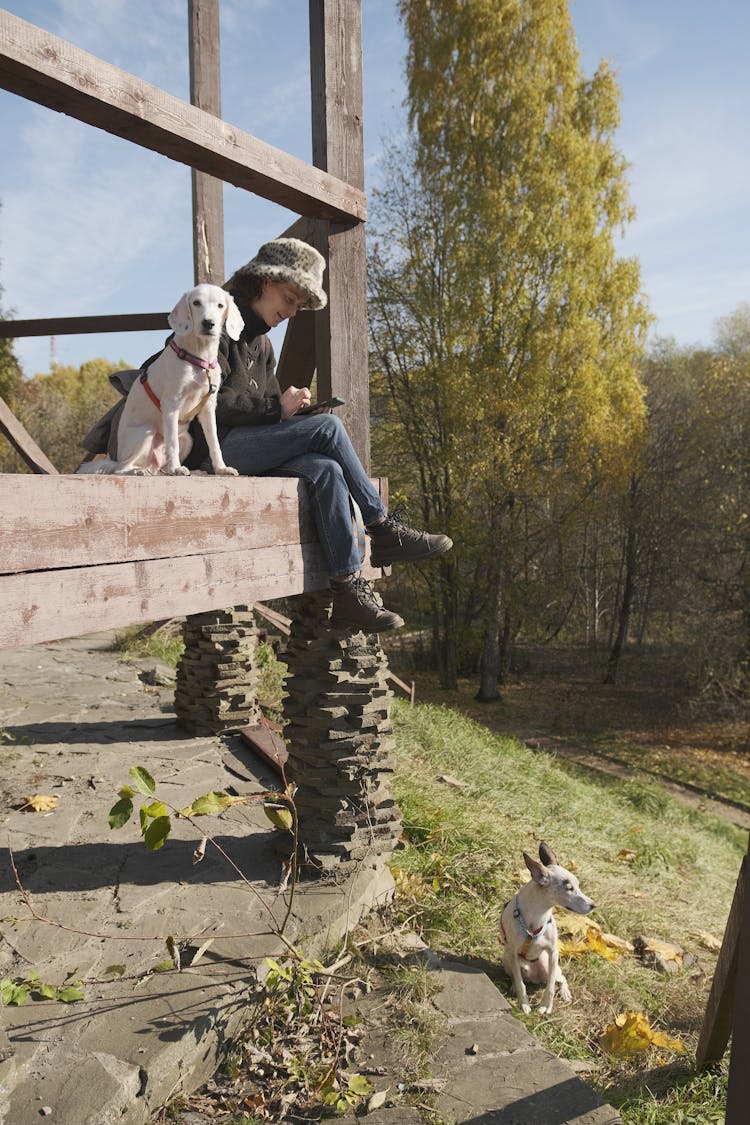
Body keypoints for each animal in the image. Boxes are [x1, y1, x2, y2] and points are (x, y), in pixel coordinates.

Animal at [75, 283, 241, 477]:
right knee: (120, 468)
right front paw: (176, 468)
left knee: (157, 467)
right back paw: (139, 471)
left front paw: (221, 468)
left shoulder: (208, 408)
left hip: (187, 439)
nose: (208, 323)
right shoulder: (171, 404)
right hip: (145, 433)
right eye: (196, 303)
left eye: (220, 305)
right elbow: (172, 443)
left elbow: (214, 443)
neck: (199, 359)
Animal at [501, 841, 593, 1017]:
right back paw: (514, 986)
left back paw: (565, 993)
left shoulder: (553, 952)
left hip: (552, 966)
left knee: (560, 979)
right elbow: (521, 983)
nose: (593, 905)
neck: (538, 914)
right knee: (519, 978)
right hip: (507, 960)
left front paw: (546, 1006)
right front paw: (524, 1003)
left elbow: (550, 987)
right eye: (569, 888)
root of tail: (536, 978)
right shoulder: (513, 953)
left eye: (578, 886)